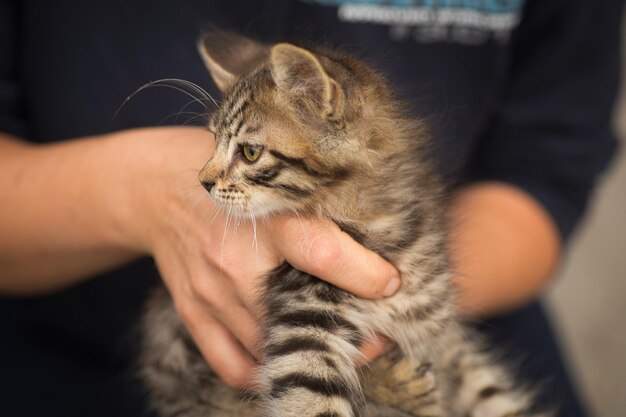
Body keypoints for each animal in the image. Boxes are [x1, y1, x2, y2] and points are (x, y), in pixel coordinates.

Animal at [139, 30, 544, 416]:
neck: (380, 228)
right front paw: (399, 384)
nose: (202, 181)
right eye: (213, 141)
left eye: (250, 152)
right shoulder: (304, 331)